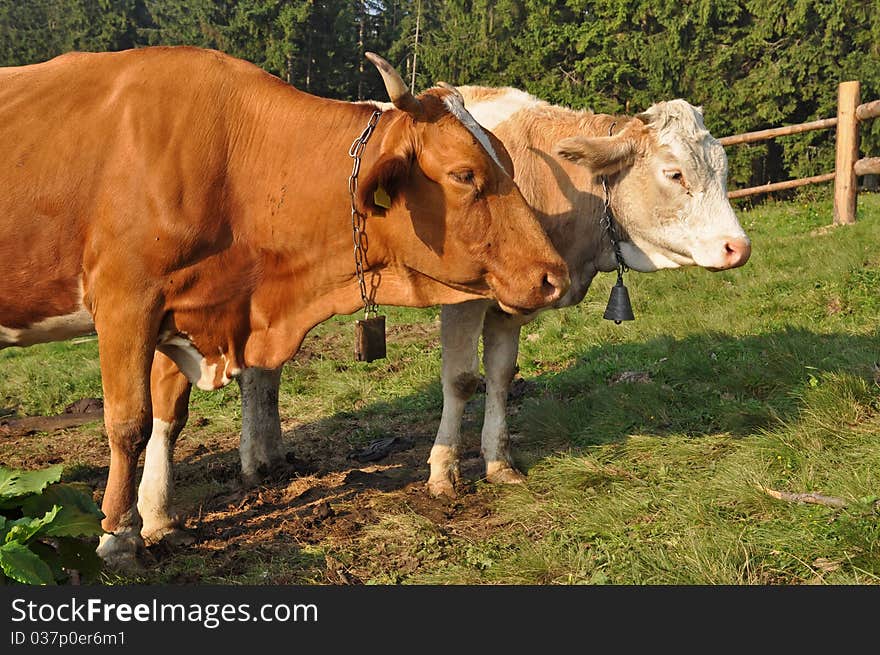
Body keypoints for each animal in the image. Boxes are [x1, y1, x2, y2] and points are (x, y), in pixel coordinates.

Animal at [0, 48, 572, 568]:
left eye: (507, 163)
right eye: (464, 175)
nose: (554, 276)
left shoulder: (181, 309)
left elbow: (169, 416)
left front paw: (159, 519)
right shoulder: (126, 302)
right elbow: (129, 423)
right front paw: (118, 536)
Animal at [213, 86, 748, 502]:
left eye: (723, 169)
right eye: (675, 173)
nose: (737, 247)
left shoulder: (520, 297)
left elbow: (501, 375)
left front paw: (499, 463)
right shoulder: (463, 297)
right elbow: (461, 380)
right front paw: (443, 472)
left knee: (266, 368)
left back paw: (271, 456)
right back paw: (254, 462)